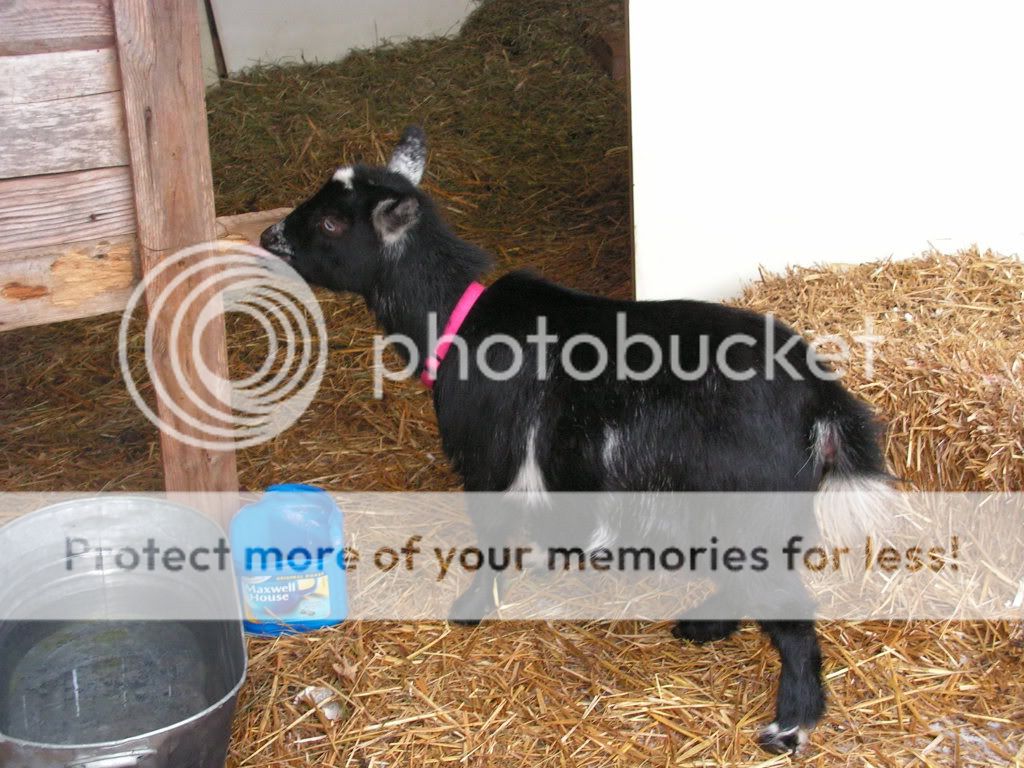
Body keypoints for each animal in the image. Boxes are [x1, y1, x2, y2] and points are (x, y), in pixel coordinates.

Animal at [260, 126, 891, 753]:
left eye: (332, 223)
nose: (269, 236)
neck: (458, 323)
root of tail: (821, 398)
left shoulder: (488, 461)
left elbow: (492, 540)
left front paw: (471, 608)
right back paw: (703, 627)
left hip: (750, 508)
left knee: (791, 614)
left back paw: (789, 724)